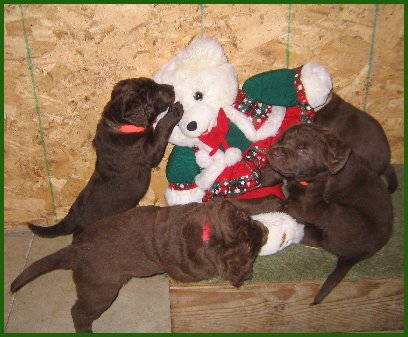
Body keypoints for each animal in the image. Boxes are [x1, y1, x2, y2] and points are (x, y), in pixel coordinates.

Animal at [11, 198, 278, 332]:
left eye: (249, 221)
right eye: (253, 251)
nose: (265, 230)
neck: (209, 234)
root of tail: (76, 249)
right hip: (100, 291)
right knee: (78, 312)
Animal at [28, 78, 182, 236]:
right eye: (152, 94)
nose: (171, 87)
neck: (120, 124)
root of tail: (72, 218)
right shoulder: (148, 151)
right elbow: (161, 129)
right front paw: (175, 111)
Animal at [266, 123, 394, 304]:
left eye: (303, 150)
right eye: (283, 139)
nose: (274, 151)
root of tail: (357, 256)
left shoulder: (302, 207)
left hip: (336, 213)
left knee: (318, 238)